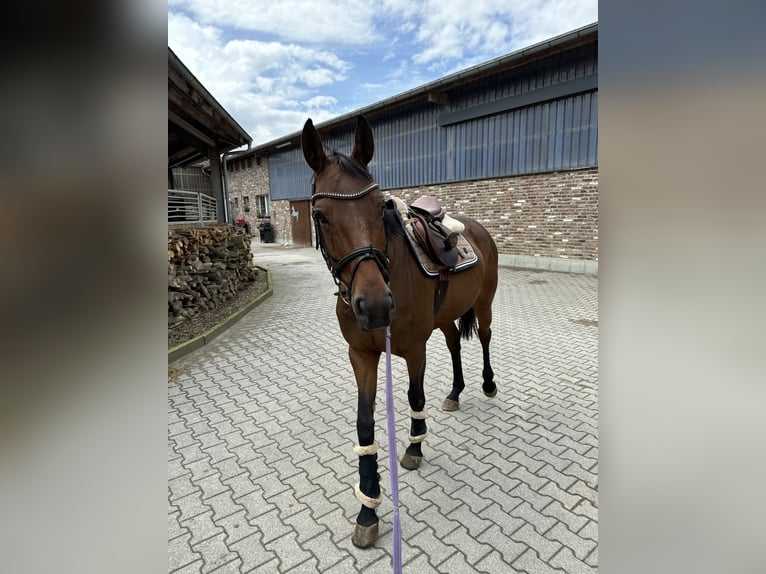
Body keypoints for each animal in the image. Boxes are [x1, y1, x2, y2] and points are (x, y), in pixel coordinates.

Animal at [300, 116, 498, 548]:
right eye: (320, 215)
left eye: (379, 206)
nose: (375, 306)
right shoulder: (361, 355)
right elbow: (364, 422)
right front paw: (368, 507)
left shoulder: (413, 348)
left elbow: (414, 396)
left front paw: (415, 448)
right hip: (445, 317)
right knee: (455, 344)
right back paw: (455, 392)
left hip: (484, 304)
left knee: (485, 338)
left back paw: (488, 384)